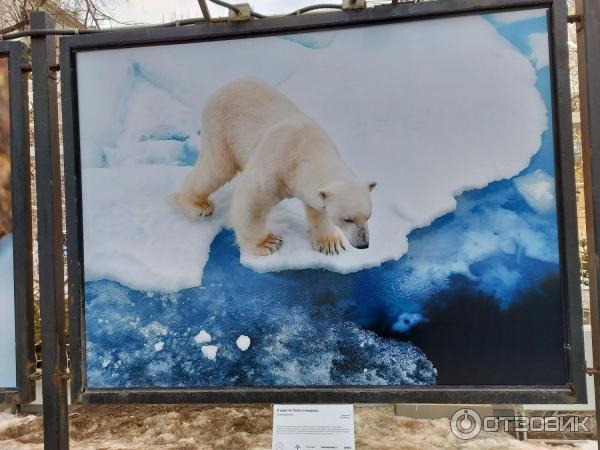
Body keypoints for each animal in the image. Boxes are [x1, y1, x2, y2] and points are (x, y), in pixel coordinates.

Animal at [171, 78, 376, 256]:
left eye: (368, 216)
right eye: (347, 218)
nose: (363, 244)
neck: (308, 148)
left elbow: (317, 208)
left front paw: (330, 243)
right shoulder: (277, 162)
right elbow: (252, 200)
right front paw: (267, 242)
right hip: (221, 127)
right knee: (216, 168)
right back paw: (197, 205)